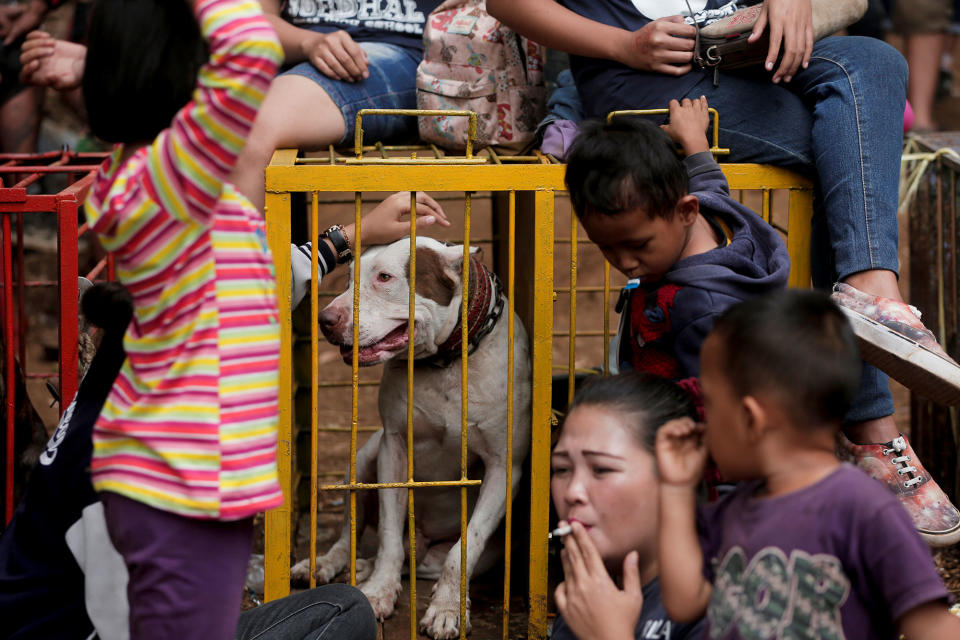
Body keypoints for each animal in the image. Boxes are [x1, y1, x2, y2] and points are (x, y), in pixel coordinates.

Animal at [292, 236, 532, 640]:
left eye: (385, 278)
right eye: (348, 279)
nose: (325, 320)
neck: (445, 361)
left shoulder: (504, 468)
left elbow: (465, 547)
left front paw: (448, 609)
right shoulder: (393, 449)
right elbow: (389, 537)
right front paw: (378, 593)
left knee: (422, 560)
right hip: (362, 462)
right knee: (355, 538)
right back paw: (330, 565)